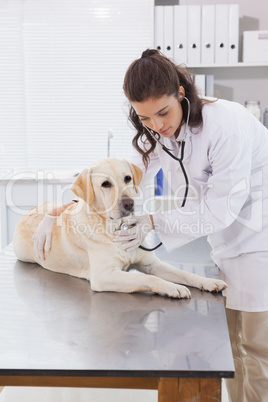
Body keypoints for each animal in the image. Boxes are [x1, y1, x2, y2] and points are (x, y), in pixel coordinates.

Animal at [12, 157, 226, 298]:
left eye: (128, 178)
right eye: (105, 184)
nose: (129, 203)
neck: (116, 227)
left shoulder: (151, 264)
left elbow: (185, 274)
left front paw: (208, 282)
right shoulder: (103, 276)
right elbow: (150, 280)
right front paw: (173, 287)